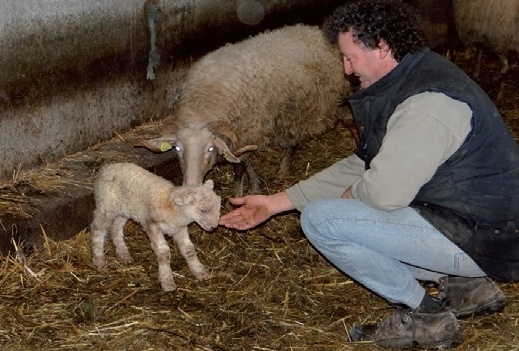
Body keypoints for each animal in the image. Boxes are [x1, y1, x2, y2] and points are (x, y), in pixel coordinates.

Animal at [90, 164, 220, 292]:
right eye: (203, 210)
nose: (214, 227)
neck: (172, 206)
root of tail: (105, 168)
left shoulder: (179, 228)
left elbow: (189, 249)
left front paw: (200, 271)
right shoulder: (152, 225)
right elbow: (163, 252)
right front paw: (167, 281)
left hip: (124, 210)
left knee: (116, 228)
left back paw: (124, 255)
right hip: (107, 206)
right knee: (97, 229)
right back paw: (99, 261)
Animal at [134, 24, 354, 198]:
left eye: (210, 149)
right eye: (178, 149)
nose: (192, 186)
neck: (205, 100)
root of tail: (314, 31)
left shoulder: (247, 129)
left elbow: (239, 165)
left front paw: (239, 193)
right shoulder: (241, 135)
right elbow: (244, 161)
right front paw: (254, 185)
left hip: (324, 102)